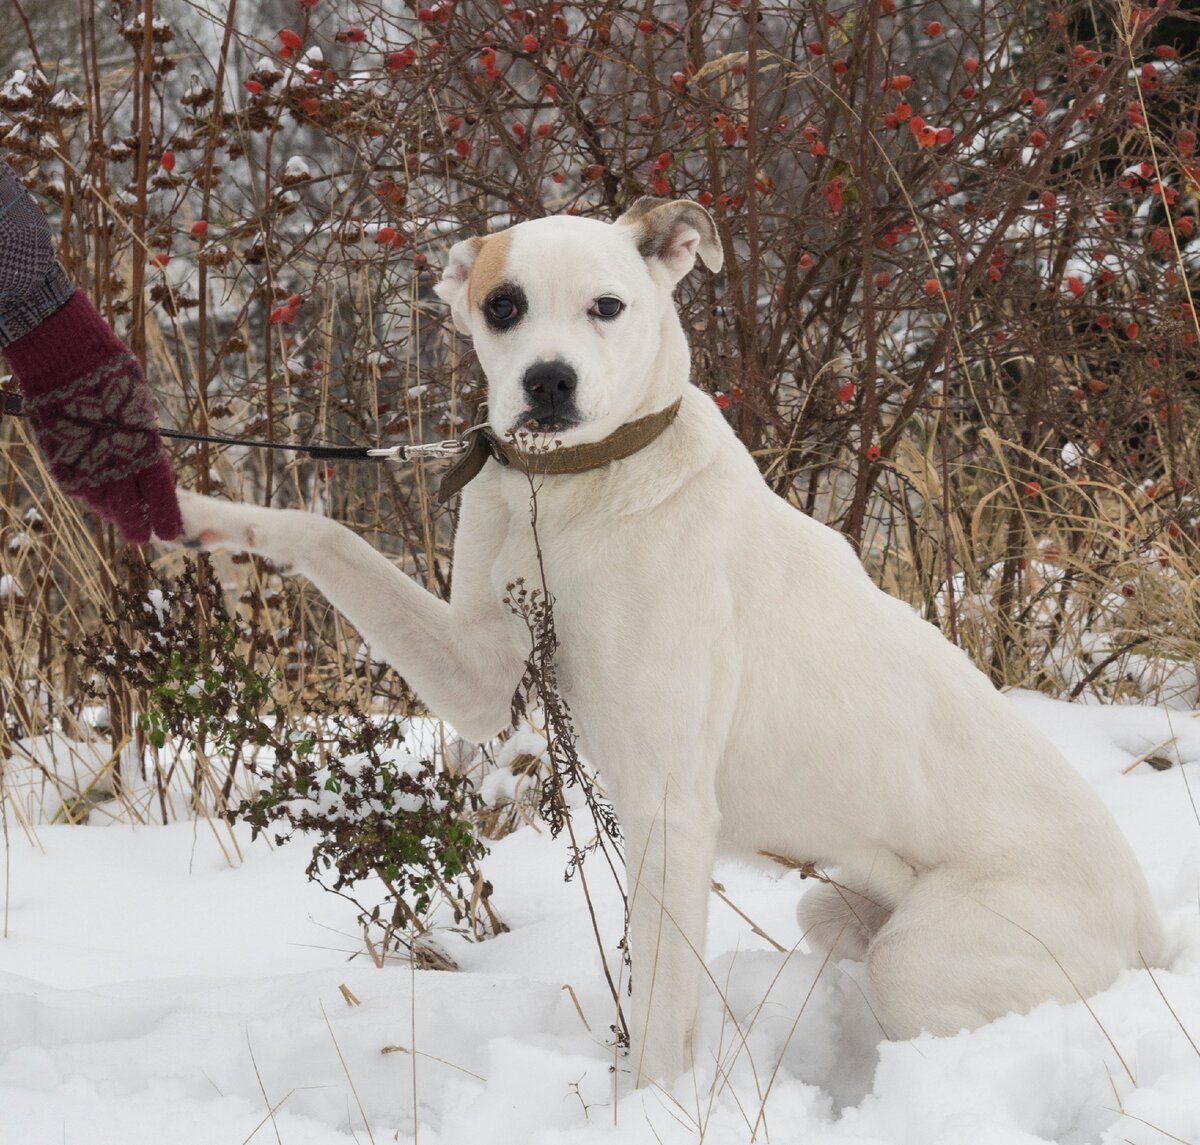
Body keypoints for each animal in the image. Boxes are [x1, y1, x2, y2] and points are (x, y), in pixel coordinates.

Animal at [175, 200, 1161, 1084]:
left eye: (608, 305)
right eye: (504, 304)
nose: (549, 382)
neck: (568, 492)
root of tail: (1147, 920)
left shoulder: (669, 811)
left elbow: (656, 1011)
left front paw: (644, 1106)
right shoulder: (476, 677)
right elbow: (326, 535)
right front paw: (195, 511)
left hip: (923, 959)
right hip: (831, 905)